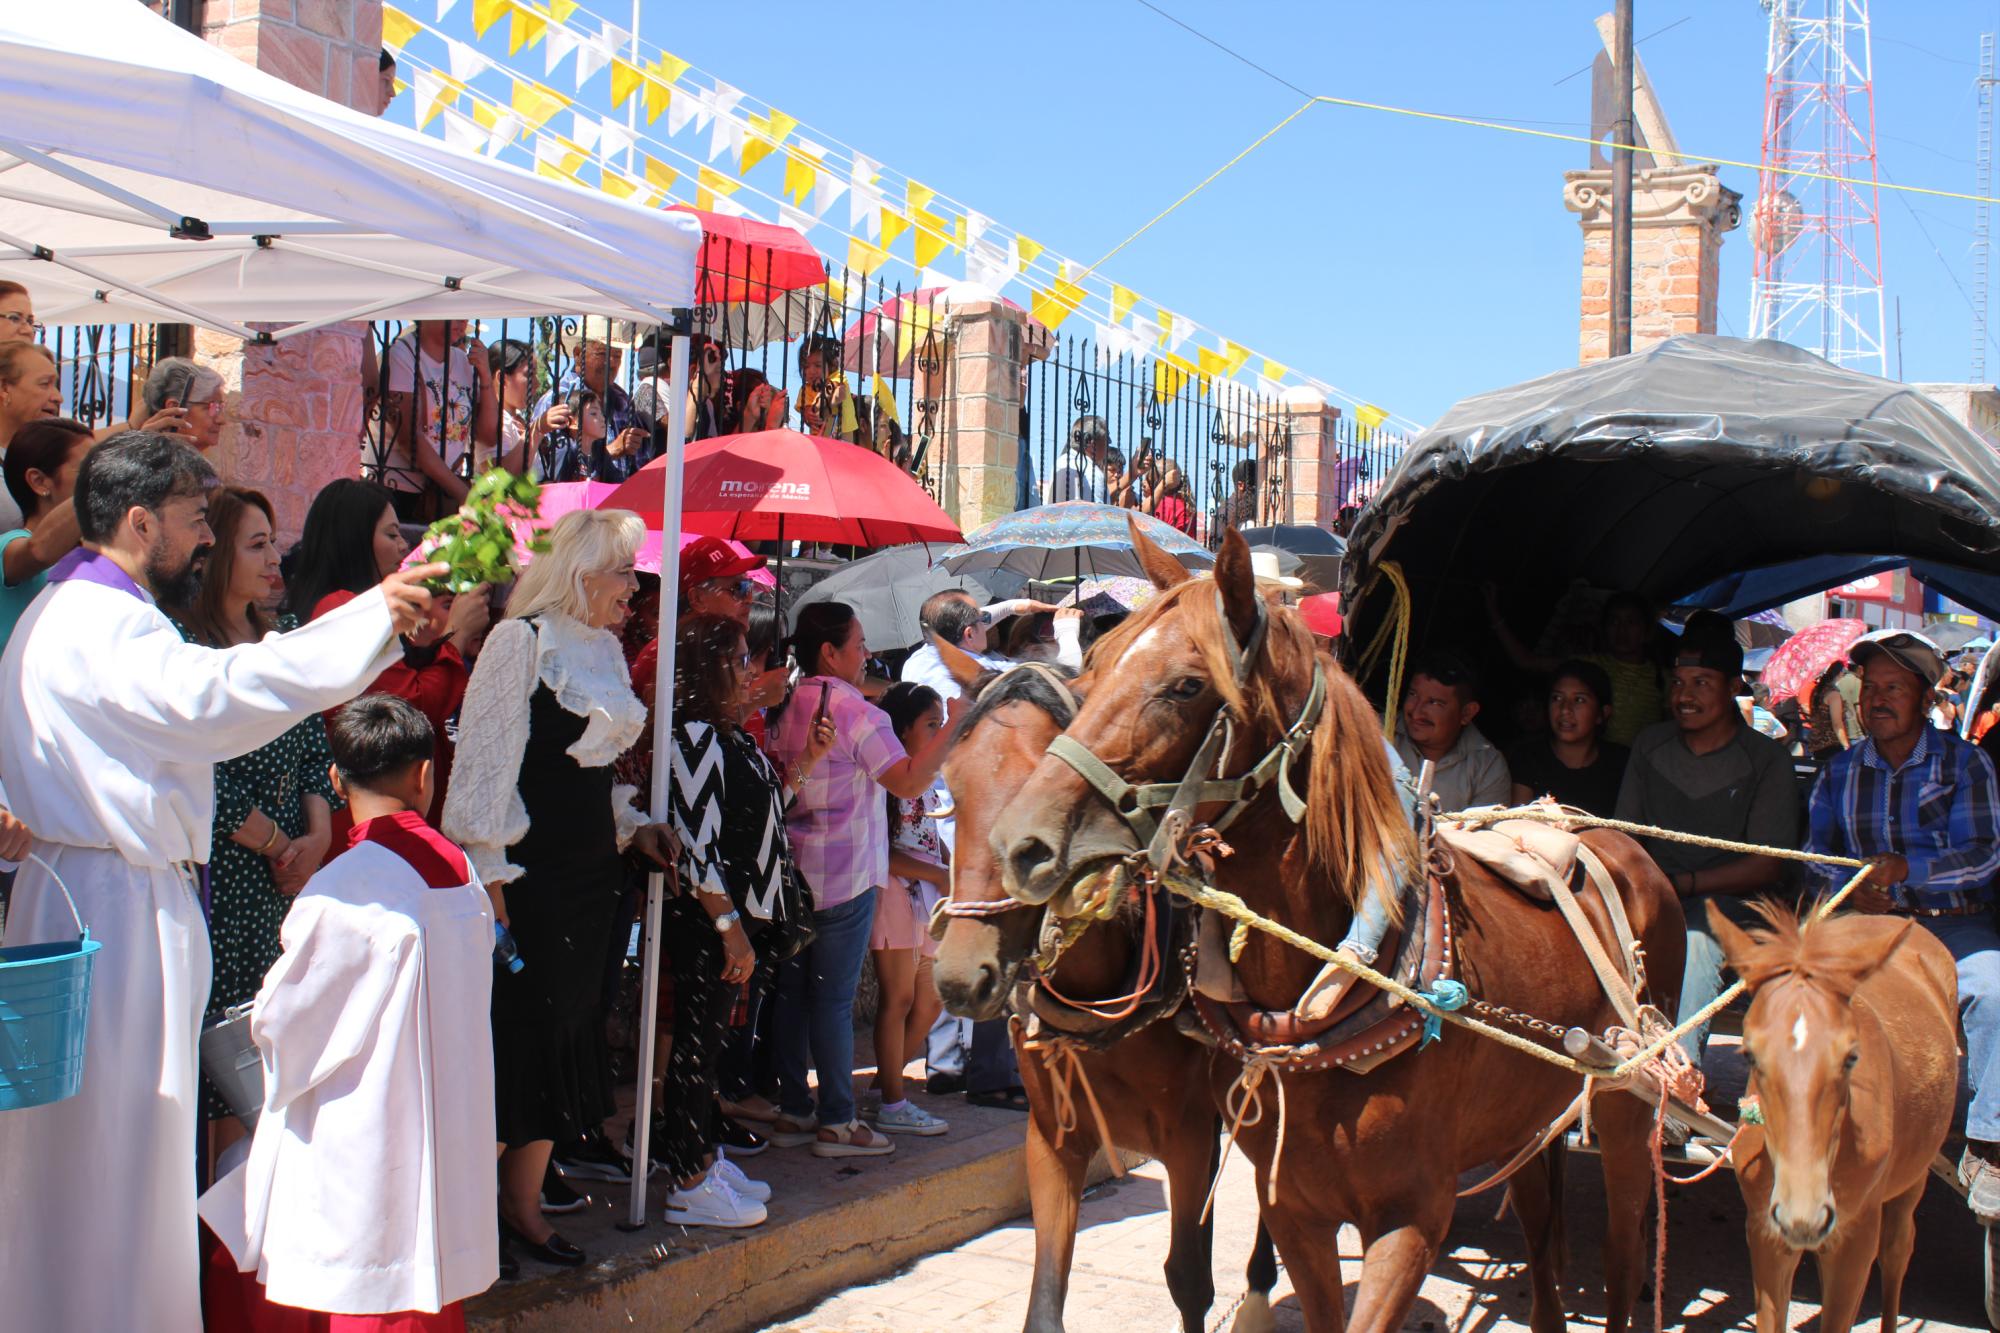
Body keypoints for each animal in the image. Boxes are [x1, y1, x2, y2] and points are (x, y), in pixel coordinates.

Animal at [936, 652, 1280, 1328]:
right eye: (952, 789)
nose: (962, 976)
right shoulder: (1052, 1138)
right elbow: (1045, 1300)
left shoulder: (1190, 1138)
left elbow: (1190, 1281)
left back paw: (1257, 1296)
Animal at [984, 528, 1688, 1328]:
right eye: (1094, 668)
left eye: (1187, 686)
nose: (1020, 844)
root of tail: (1608, 838)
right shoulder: (1295, 1212)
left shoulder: (1412, 1222)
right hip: (1532, 1116)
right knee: (1542, 1235)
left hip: (1629, 1106)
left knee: (1625, 1250)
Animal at [1712, 892, 1960, 1328]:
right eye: (1749, 1055)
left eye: (1851, 1057)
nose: (1804, 1216)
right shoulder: (1765, 1233)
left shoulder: (1854, 1242)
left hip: (1914, 1178)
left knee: (1897, 1250)